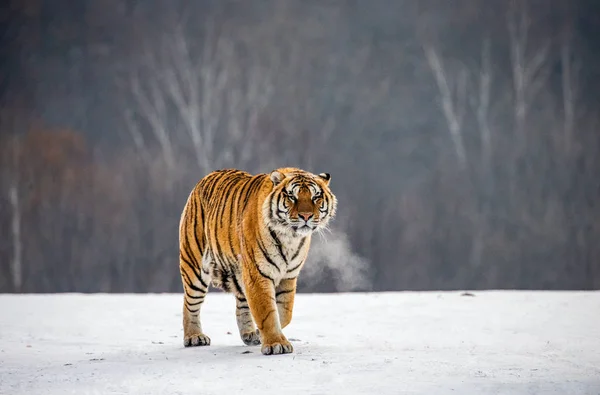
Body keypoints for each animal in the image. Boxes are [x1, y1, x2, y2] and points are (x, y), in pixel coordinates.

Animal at [178, 166, 338, 356]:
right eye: (292, 196)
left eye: (315, 197)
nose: (305, 216)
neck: (290, 237)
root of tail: (205, 178)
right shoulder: (258, 274)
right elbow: (267, 312)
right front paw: (276, 344)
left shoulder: (288, 277)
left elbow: (284, 312)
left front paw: (261, 335)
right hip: (194, 267)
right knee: (190, 304)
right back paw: (194, 337)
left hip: (239, 272)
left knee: (242, 304)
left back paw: (249, 335)